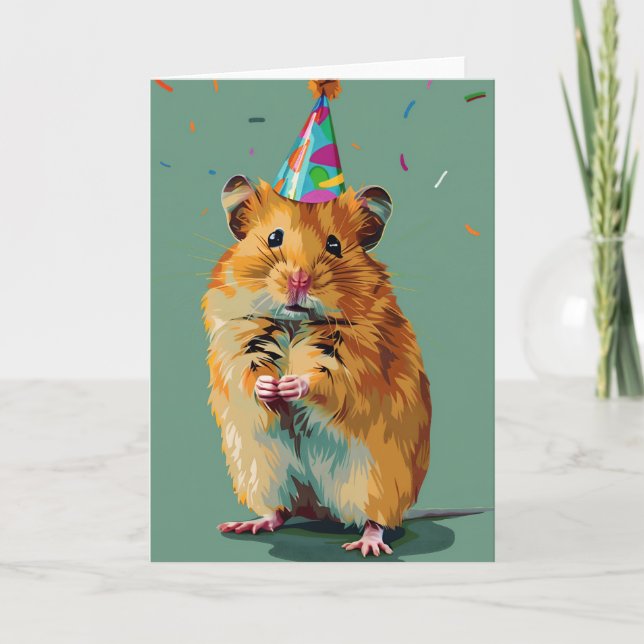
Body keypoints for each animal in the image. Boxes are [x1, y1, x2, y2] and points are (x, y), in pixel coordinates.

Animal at [202, 175, 431, 556]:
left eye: (335, 244)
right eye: (274, 237)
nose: (299, 280)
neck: (294, 322)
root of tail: (322, 509)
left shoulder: (356, 361)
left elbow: (326, 379)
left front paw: (290, 385)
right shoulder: (238, 343)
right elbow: (251, 375)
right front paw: (270, 387)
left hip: (376, 482)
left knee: (375, 520)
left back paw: (367, 546)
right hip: (261, 472)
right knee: (280, 511)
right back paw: (244, 525)